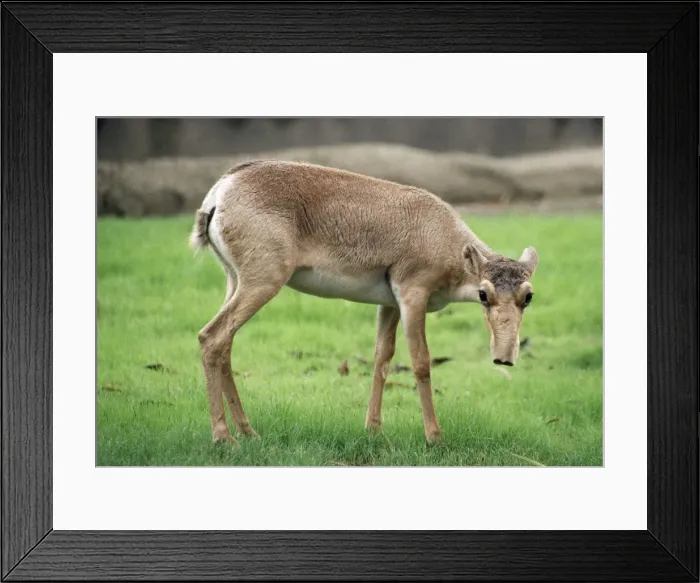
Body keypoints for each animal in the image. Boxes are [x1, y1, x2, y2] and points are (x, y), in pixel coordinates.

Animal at [190, 160, 538, 446]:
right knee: (211, 336)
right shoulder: (412, 296)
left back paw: (248, 431)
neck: (445, 237)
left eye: (528, 296)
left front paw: (373, 429)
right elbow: (421, 361)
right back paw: (223, 437)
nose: (504, 358)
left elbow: (382, 358)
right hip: (263, 282)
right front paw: (434, 436)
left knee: (225, 344)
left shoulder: (390, 305)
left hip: (235, 281)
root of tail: (220, 191)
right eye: (484, 293)